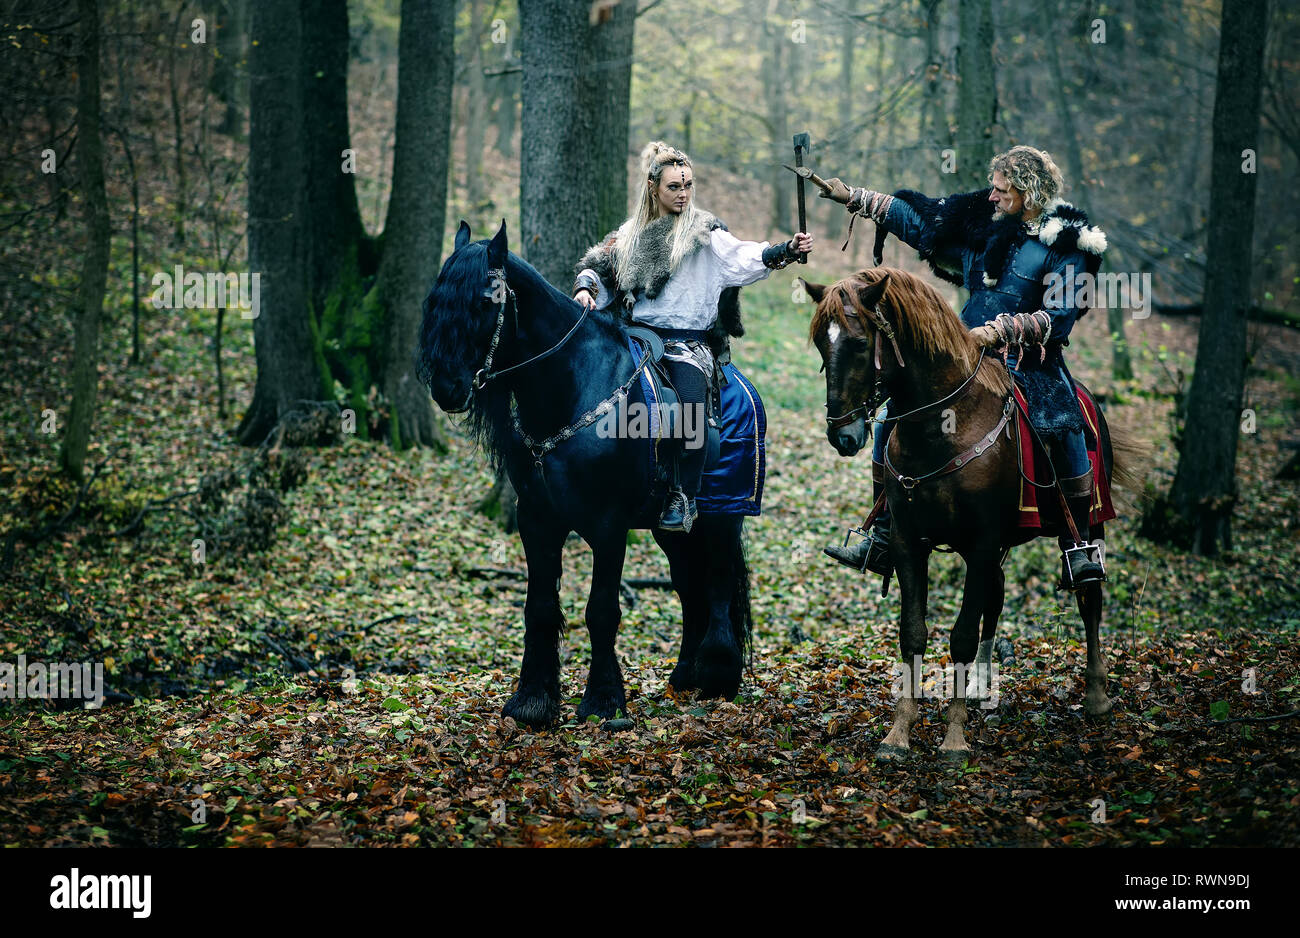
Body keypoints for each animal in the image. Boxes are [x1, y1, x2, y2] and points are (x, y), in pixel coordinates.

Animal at [416, 223, 754, 727]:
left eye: (483, 301)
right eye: (436, 300)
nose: (447, 387)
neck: (570, 388)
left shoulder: (608, 526)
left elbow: (601, 611)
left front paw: (603, 700)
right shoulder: (536, 520)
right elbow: (538, 607)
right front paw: (532, 700)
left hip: (722, 515)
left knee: (715, 582)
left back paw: (718, 675)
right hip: (671, 530)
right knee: (688, 587)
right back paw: (684, 676)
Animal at [800, 265, 1138, 758]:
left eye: (860, 343)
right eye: (822, 346)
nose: (842, 434)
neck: (944, 426)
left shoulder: (980, 544)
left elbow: (960, 635)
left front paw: (954, 739)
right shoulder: (910, 542)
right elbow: (913, 632)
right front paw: (899, 732)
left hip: (1087, 521)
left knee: (1089, 597)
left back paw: (1096, 694)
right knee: (994, 600)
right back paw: (981, 686)